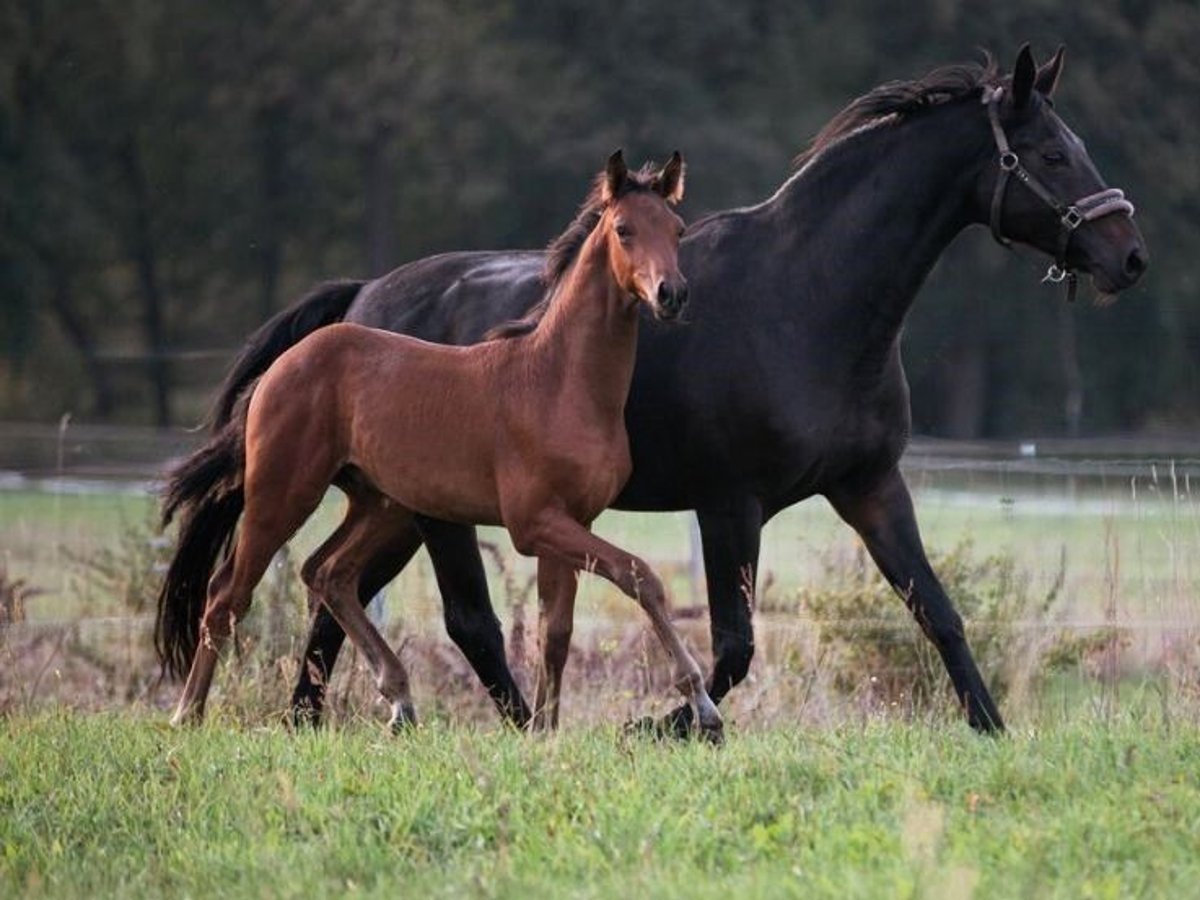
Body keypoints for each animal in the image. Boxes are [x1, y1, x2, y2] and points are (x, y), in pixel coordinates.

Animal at [152, 150, 720, 739]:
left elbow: (556, 633)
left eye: (677, 229)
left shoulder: (571, 522)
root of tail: (288, 362)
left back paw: (400, 698)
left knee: (328, 573)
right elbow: (641, 576)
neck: (557, 380)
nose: (672, 294)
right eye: (624, 229)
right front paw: (702, 704)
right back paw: (186, 714)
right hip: (281, 495)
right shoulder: (535, 523)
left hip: (383, 505)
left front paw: (545, 730)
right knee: (228, 595)